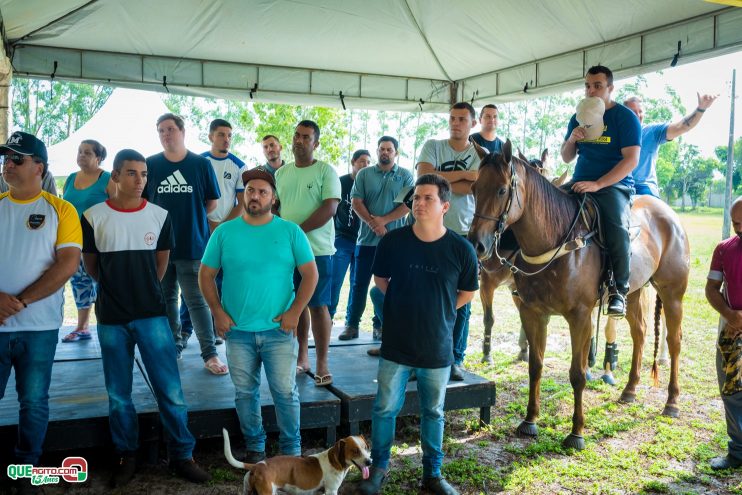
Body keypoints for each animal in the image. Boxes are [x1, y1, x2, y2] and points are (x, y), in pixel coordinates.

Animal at [221, 428, 372, 494]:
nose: (370, 462)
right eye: (355, 451)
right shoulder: (331, 490)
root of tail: (257, 466)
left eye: (366, 447)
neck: (335, 461)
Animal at [470, 140, 692, 450]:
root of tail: (668, 214)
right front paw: (530, 420)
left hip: (672, 293)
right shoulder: (532, 312)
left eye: (502, 189)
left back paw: (672, 402)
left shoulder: (580, 316)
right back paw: (630, 389)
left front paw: (576, 432)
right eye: (474, 188)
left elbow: (577, 374)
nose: (476, 244)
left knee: (674, 341)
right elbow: (535, 366)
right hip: (634, 292)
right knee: (640, 332)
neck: (556, 239)